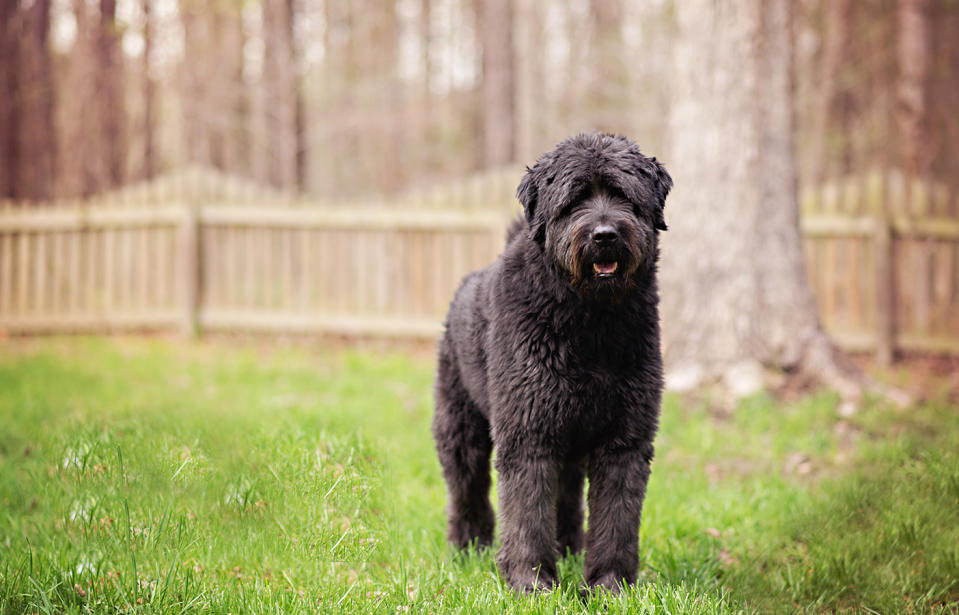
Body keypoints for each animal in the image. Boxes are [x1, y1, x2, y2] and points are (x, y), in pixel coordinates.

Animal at [432, 132, 672, 596]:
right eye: (574, 199)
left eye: (623, 195)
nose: (604, 235)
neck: (590, 324)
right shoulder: (528, 434)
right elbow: (526, 513)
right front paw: (531, 582)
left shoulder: (624, 438)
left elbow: (616, 518)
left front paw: (609, 585)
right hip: (460, 430)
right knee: (467, 492)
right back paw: (468, 550)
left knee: (565, 500)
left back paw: (569, 551)